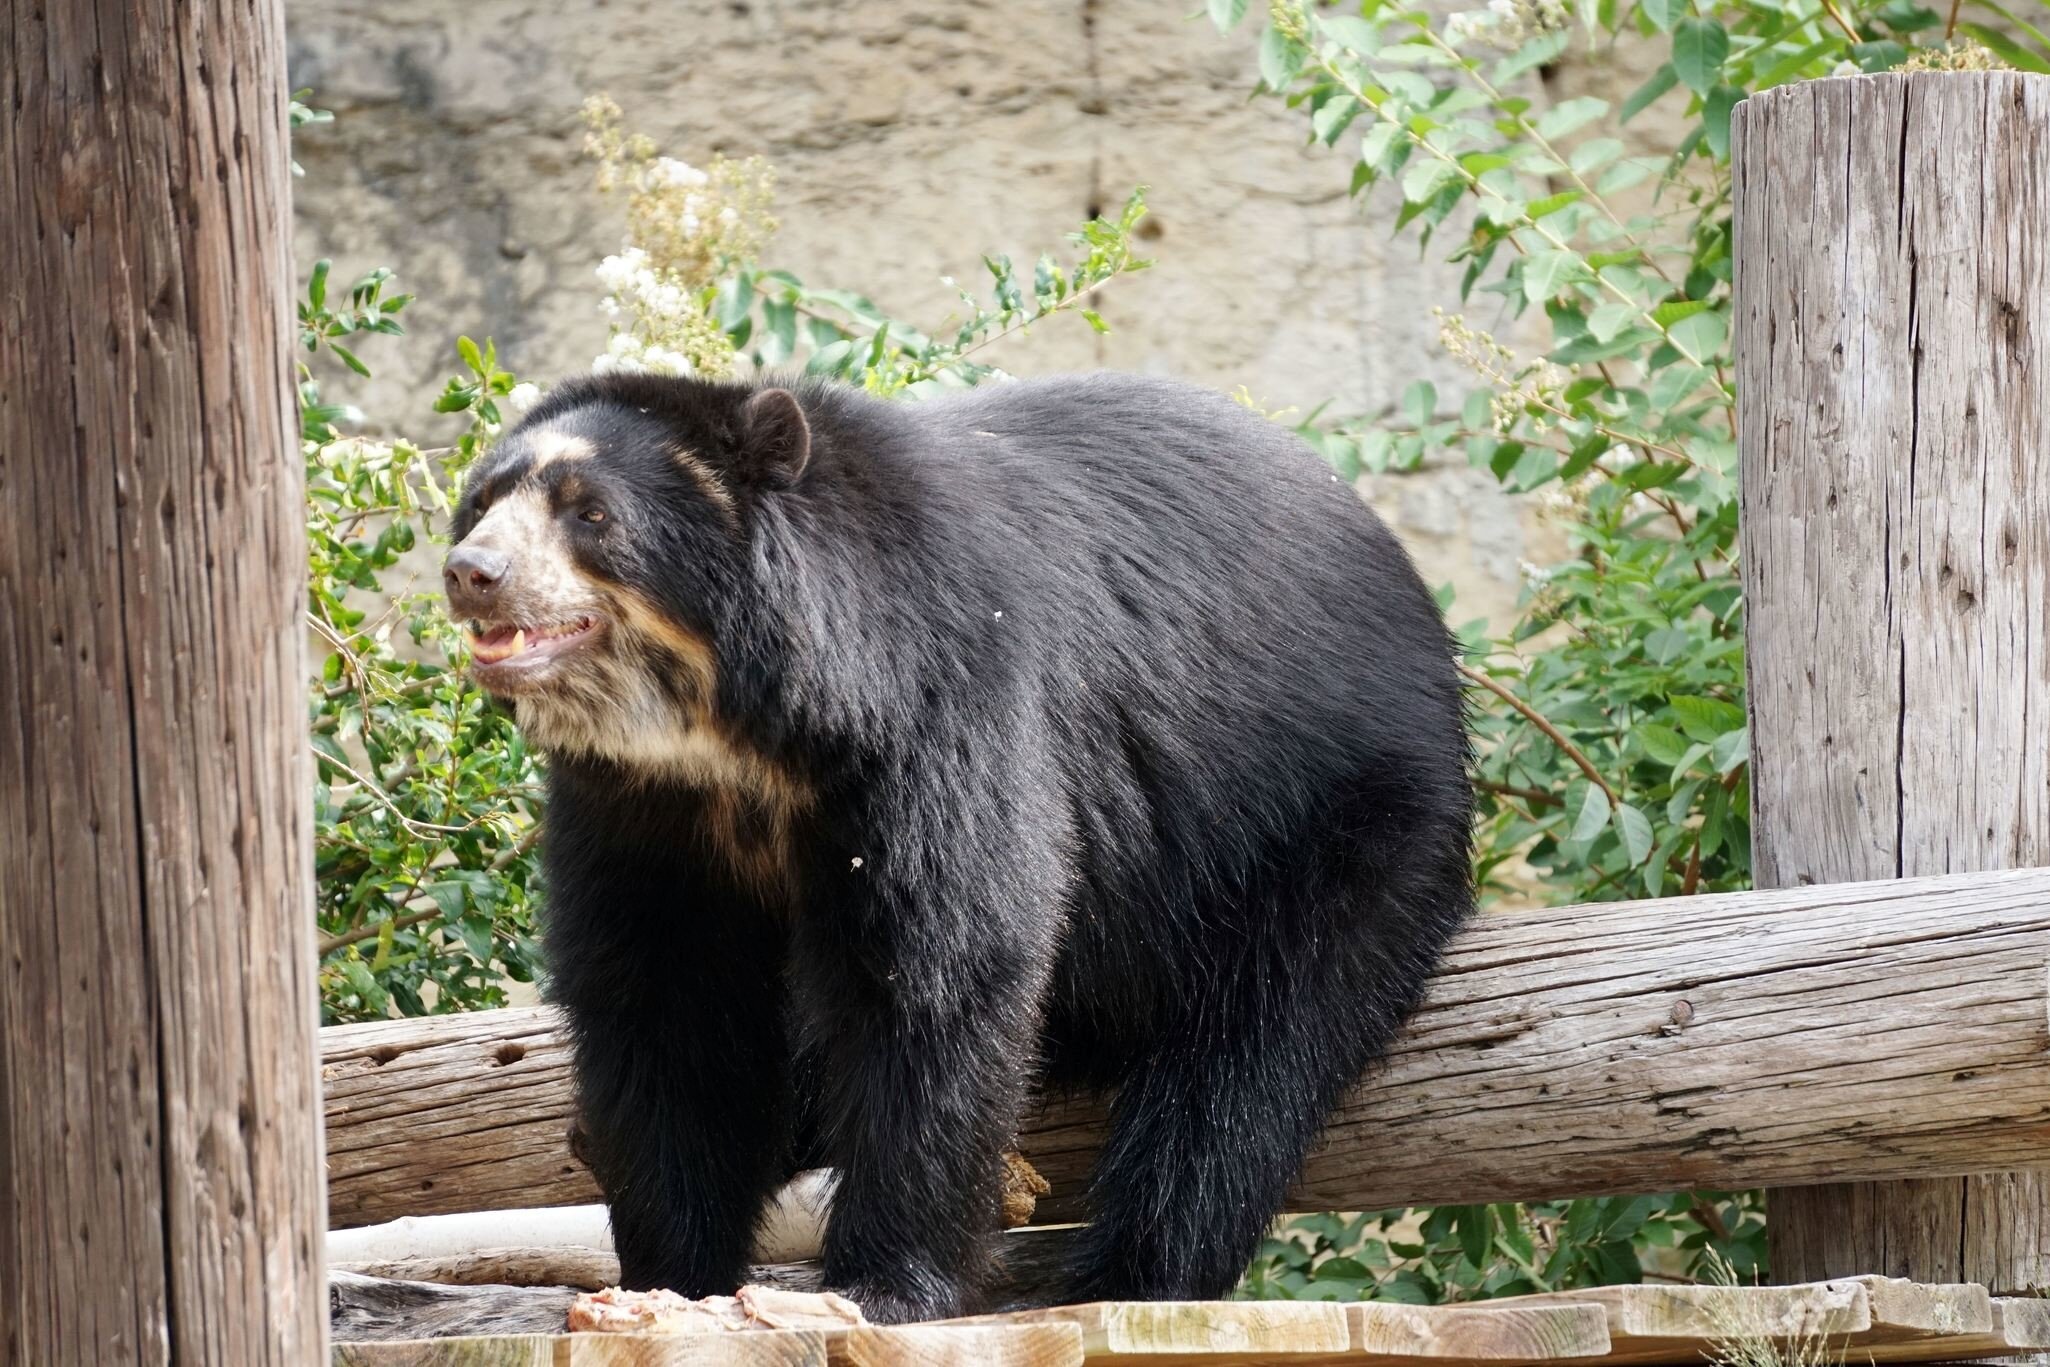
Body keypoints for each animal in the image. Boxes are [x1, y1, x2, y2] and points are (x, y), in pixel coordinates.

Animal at [441, 371, 1473, 1324]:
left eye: (590, 512)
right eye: (484, 499)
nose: (469, 571)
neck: (737, 739)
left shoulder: (946, 710)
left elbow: (940, 969)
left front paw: (882, 1286)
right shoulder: (639, 805)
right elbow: (664, 996)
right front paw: (675, 1274)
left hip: (1333, 822)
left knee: (1248, 1061)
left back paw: (1129, 1274)